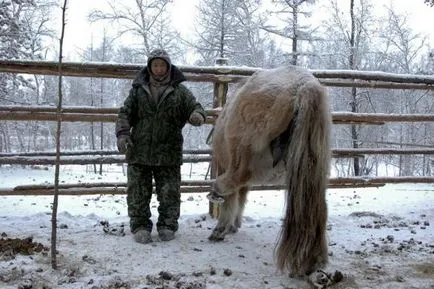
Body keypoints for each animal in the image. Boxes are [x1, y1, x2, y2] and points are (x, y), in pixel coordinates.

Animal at [209, 64, 330, 276]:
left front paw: (224, 226)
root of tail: (303, 85)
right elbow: (241, 198)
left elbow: (232, 199)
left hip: (242, 153)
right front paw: (233, 225)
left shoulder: (226, 164)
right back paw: (312, 260)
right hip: (311, 171)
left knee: (236, 177)